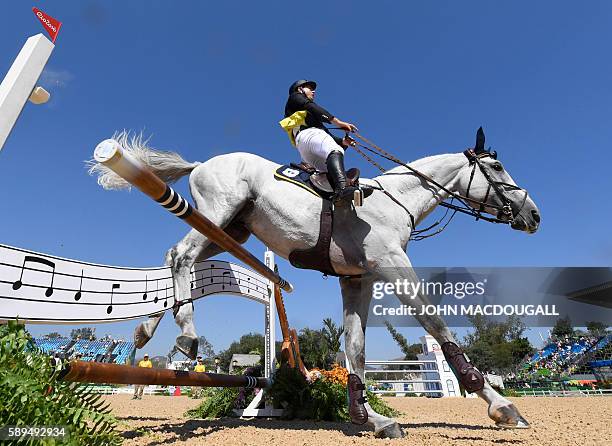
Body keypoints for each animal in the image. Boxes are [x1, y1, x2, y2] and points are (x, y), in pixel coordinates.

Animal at [89, 127, 540, 438]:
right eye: (496, 167)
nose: (533, 215)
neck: (397, 201)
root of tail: (200, 163)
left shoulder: (358, 280)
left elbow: (356, 350)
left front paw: (369, 417)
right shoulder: (393, 266)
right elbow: (438, 327)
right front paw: (500, 406)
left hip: (229, 232)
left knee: (174, 258)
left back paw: (149, 330)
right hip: (219, 213)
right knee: (180, 255)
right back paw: (186, 333)